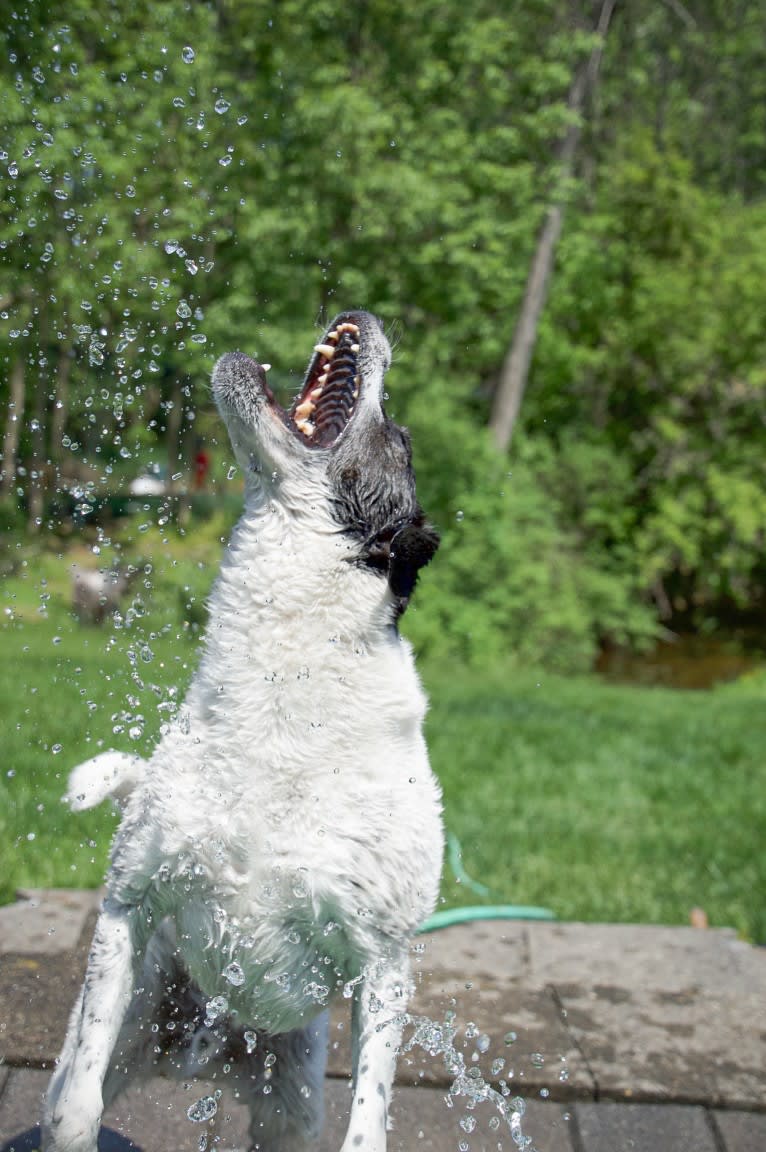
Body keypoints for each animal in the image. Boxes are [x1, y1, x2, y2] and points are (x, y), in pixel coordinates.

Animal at [43, 313, 442, 1152]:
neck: (284, 702)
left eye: (400, 439)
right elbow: (73, 1109)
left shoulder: (384, 961)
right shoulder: (128, 907)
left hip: (289, 1098)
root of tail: (203, 1052)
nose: (368, 314)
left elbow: (368, 1120)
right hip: (140, 1023)